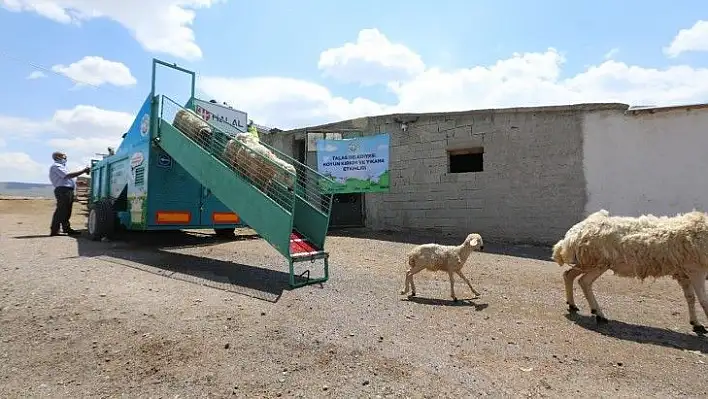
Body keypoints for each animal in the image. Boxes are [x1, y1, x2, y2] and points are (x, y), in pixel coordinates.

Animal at [552, 209, 708, 334]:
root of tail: (570, 237)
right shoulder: (695, 270)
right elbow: (703, 300)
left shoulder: (683, 273)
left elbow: (690, 298)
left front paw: (696, 323)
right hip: (598, 262)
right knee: (584, 281)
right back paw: (599, 314)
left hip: (586, 262)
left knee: (569, 275)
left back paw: (573, 305)